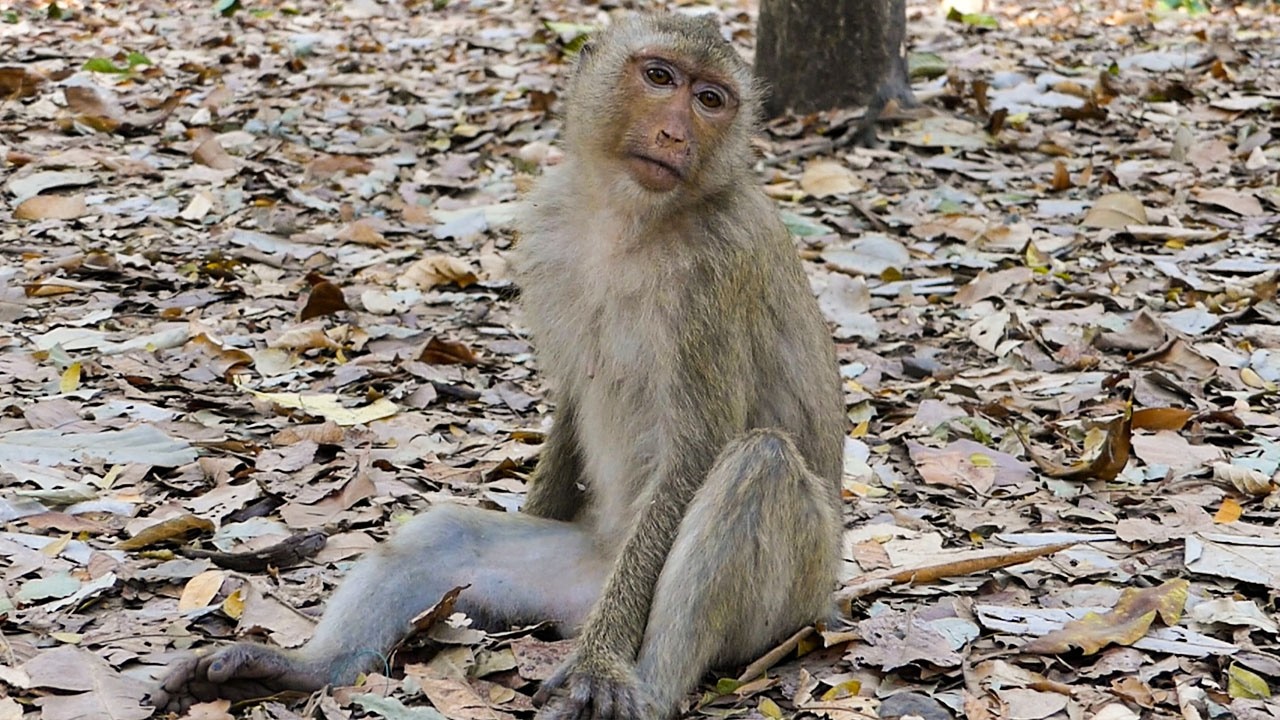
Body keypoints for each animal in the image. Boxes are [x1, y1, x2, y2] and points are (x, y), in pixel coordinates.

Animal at [151, 13, 845, 719]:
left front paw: (602, 665)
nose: (675, 133)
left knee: (759, 463)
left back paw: (637, 686)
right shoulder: (550, 224)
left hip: (784, 606)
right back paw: (302, 669)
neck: (632, 222)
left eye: (710, 100)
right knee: (447, 533)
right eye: (660, 76)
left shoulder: (717, 269)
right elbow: (571, 402)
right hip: (573, 570)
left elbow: (695, 454)